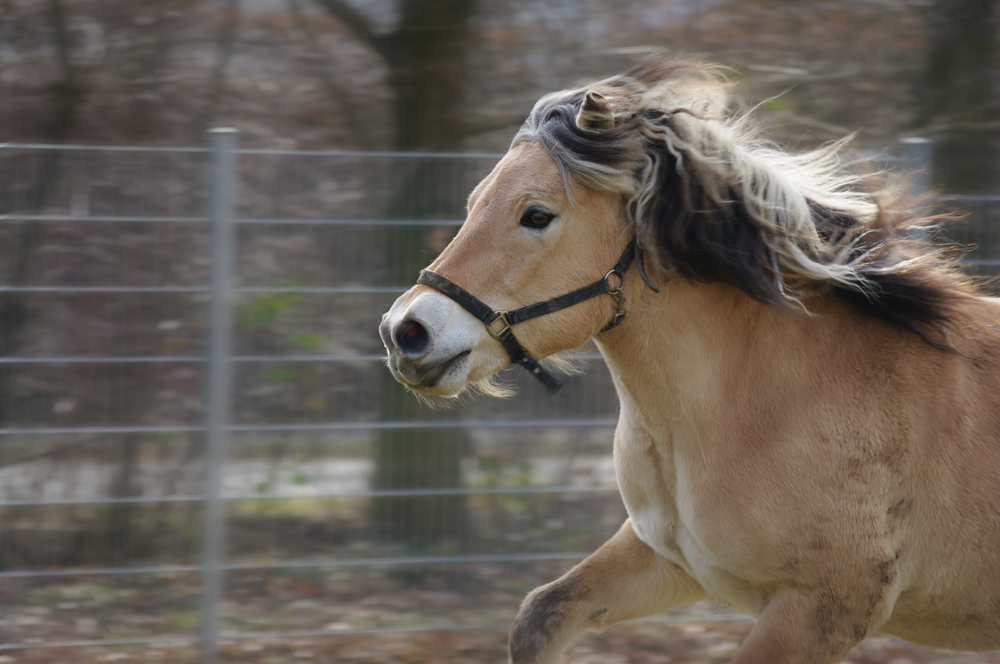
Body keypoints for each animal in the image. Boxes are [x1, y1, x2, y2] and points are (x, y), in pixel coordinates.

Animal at [376, 59, 1000, 660]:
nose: (405, 333)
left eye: (536, 215)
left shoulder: (824, 608)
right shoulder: (671, 561)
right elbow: (541, 615)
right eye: (473, 205)